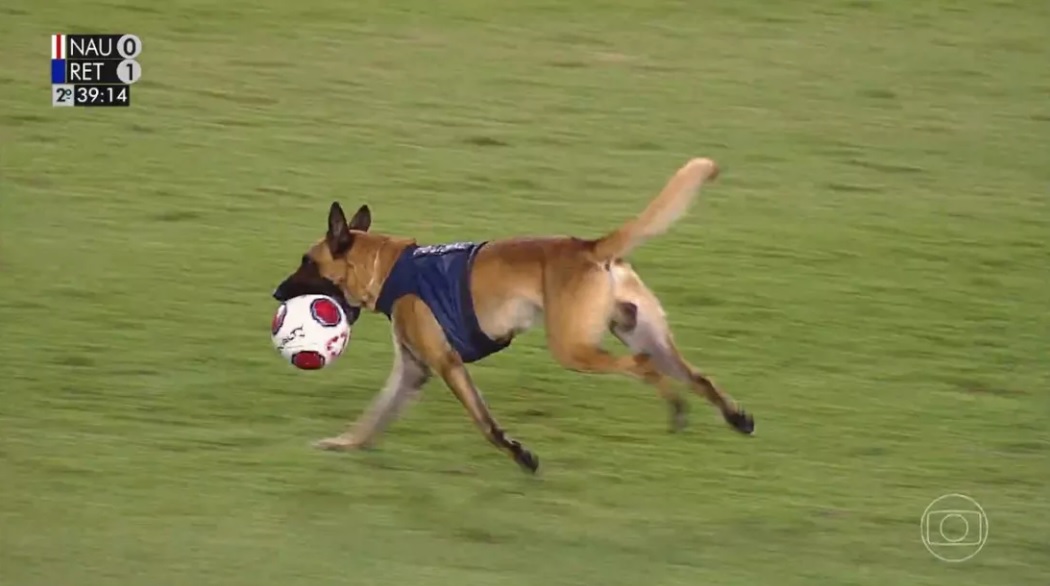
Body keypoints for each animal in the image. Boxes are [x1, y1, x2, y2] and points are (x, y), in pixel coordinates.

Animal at [275, 158, 751, 474]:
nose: (276, 292)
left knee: (644, 365)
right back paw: (735, 418)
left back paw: (678, 409)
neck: (387, 266)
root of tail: (589, 247)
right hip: (642, 332)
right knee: (697, 376)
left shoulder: (445, 365)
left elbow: (485, 423)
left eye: (306, 261)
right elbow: (373, 417)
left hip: (576, 348)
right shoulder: (412, 371)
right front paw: (342, 444)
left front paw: (520, 455)